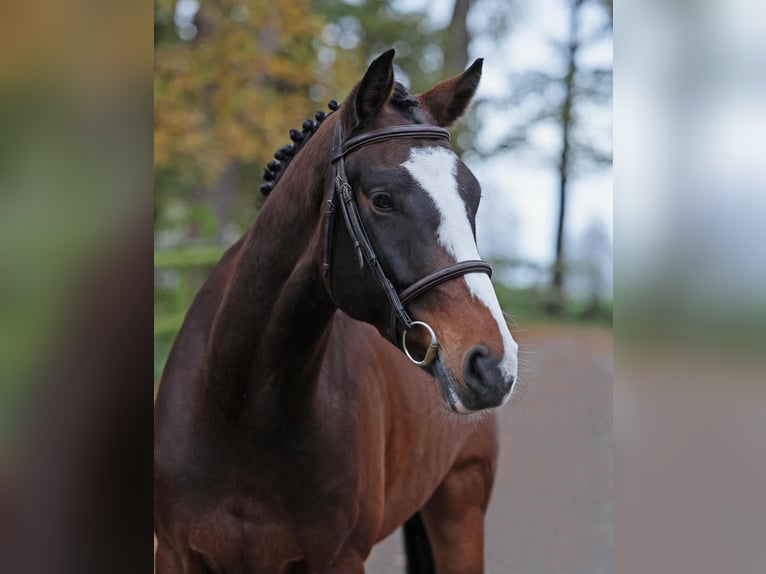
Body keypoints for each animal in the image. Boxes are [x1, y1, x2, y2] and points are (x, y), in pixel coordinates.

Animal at [157, 50, 524, 574]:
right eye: (383, 200)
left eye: (472, 199)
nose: (493, 364)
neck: (243, 412)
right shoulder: (172, 553)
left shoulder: (342, 559)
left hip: (461, 509)